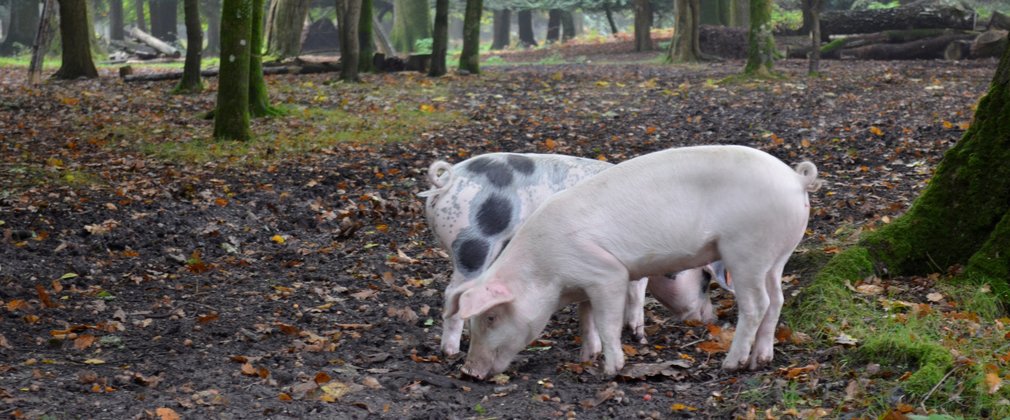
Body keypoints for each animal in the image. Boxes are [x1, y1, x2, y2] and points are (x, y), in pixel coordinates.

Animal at [446, 146, 816, 379]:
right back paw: (760, 360)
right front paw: (585, 358)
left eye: (491, 317)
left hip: (746, 250)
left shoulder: (607, 273)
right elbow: (586, 320)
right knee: (777, 300)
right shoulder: (584, 284)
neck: (546, 270)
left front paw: (610, 370)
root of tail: (796, 179)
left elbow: (608, 323)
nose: (468, 371)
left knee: (756, 305)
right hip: (777, 254)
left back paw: (731, 364)